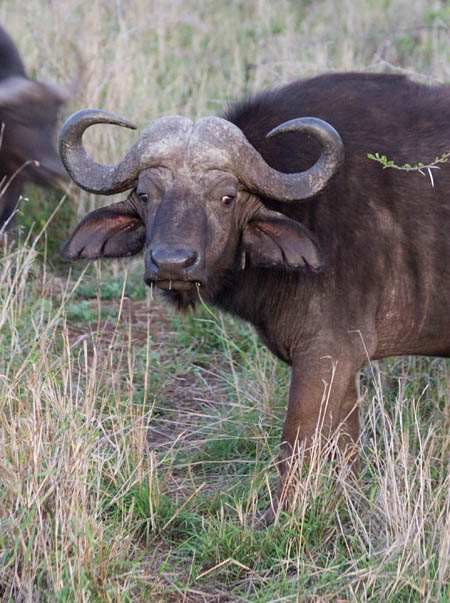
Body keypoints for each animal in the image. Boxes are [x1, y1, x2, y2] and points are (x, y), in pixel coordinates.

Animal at [58, 71, 450, 524]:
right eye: (144, 195)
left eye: (226, 197)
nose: (172, 263)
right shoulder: (343, 362)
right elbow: (343, 446)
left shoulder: (327, 352)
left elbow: (297, 442)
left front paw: (280, 518)